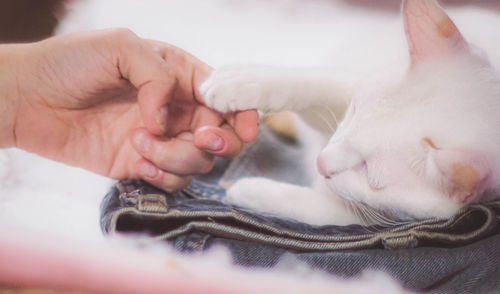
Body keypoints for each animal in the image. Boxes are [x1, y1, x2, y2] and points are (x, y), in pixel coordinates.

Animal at [197, 0, 500, 226]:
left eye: (368, 171)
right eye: (354, 111)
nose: (320, 162)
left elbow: (326, 211)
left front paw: (252, 191)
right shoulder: (348, 86)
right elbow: (315, 85)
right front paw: (243, 82)